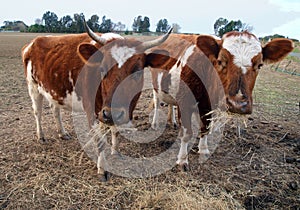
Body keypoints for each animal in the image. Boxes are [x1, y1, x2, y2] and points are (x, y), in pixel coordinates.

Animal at [22, 20, 172, 180]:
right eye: (102, 69)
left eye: (137, 72)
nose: (111, 113)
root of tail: (33, 42)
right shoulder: (92, 111)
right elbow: (99, 141)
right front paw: (102, 169)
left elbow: (115, 131)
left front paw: (116, 152)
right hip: (33, 87)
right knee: (37, 112)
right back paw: (41, 136)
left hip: (54, 91)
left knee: (55, 110)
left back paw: (62, 133)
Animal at [147, 31, 292, 171]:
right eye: (221, 61)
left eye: (259, 65)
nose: (238, 104)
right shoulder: (185, 103)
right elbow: (187, 133)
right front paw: (182, 160)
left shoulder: (208, 107)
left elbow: (205, 128)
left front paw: (203, 149)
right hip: (156, 86)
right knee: (157, 104)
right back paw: (155, 123)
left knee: (171, 104)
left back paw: (173, 121)